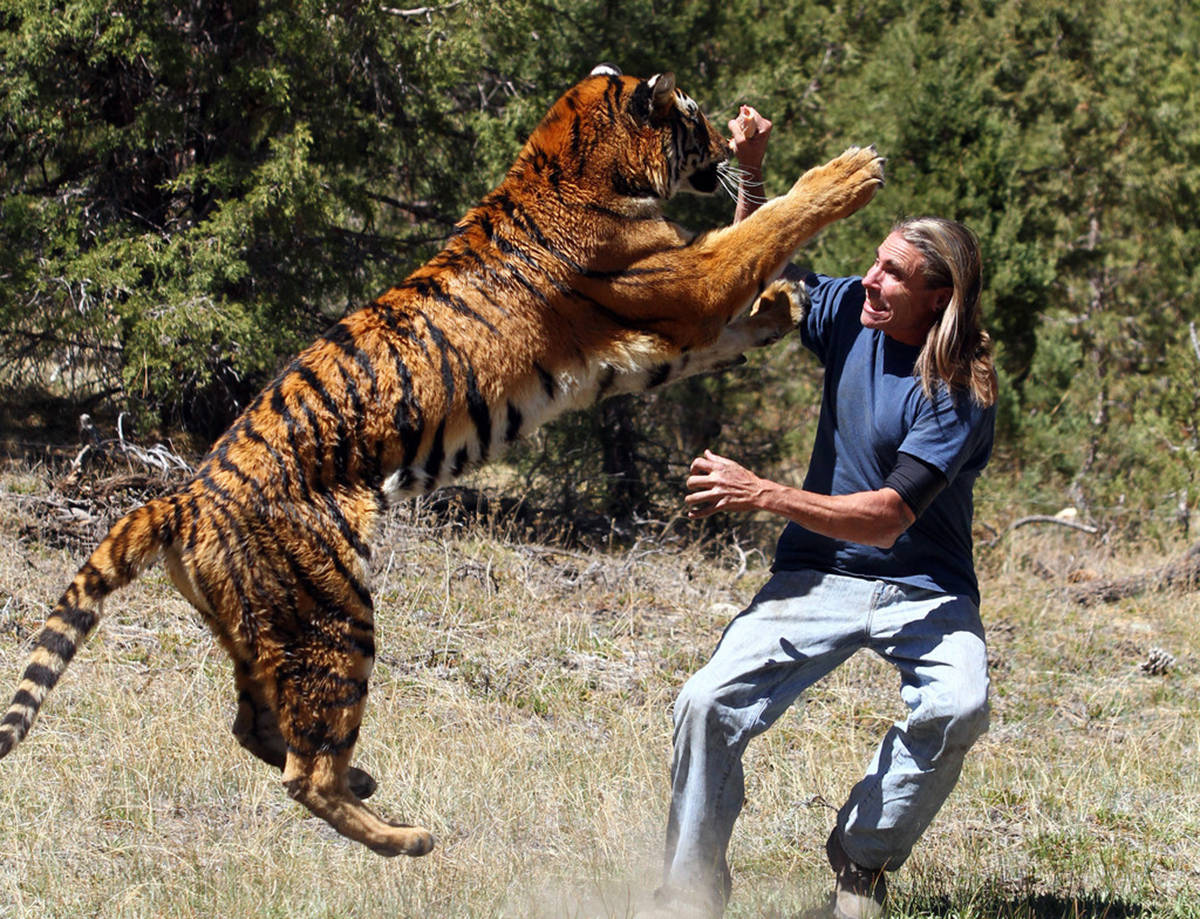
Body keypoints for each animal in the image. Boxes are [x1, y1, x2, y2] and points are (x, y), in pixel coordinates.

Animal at [0, 66, 883, 863]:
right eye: (695, 118)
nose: (725, 143)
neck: (568, 158)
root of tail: (183, 497)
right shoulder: (682, 284)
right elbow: (760, 230)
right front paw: (851, 172)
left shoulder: (671, 330)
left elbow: (744, 297)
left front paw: (784, 303)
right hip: (334, 612)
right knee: (302, 768)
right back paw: (405, 837)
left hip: (261, 626)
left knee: (256, 726)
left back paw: (366, 785)